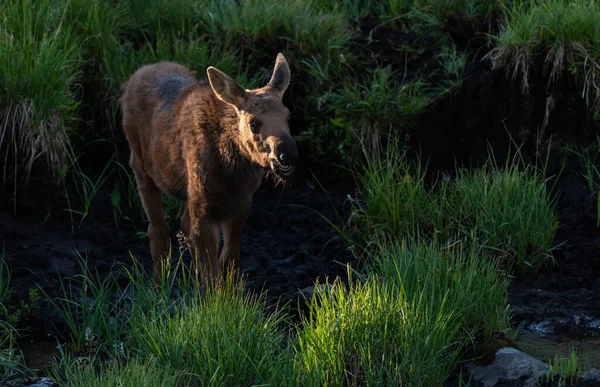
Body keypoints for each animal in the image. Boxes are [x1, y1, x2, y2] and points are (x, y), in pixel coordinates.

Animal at [120, 53, 298, 286]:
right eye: (253, 122)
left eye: (288, 116)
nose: (287, 153)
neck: (232, 174)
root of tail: (135, 76)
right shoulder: (204, 205)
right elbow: (212, 271)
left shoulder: (240, 204)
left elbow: (229, 257)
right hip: (140, 166)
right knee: (158, 228)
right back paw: (159, 285)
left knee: (183, 224)